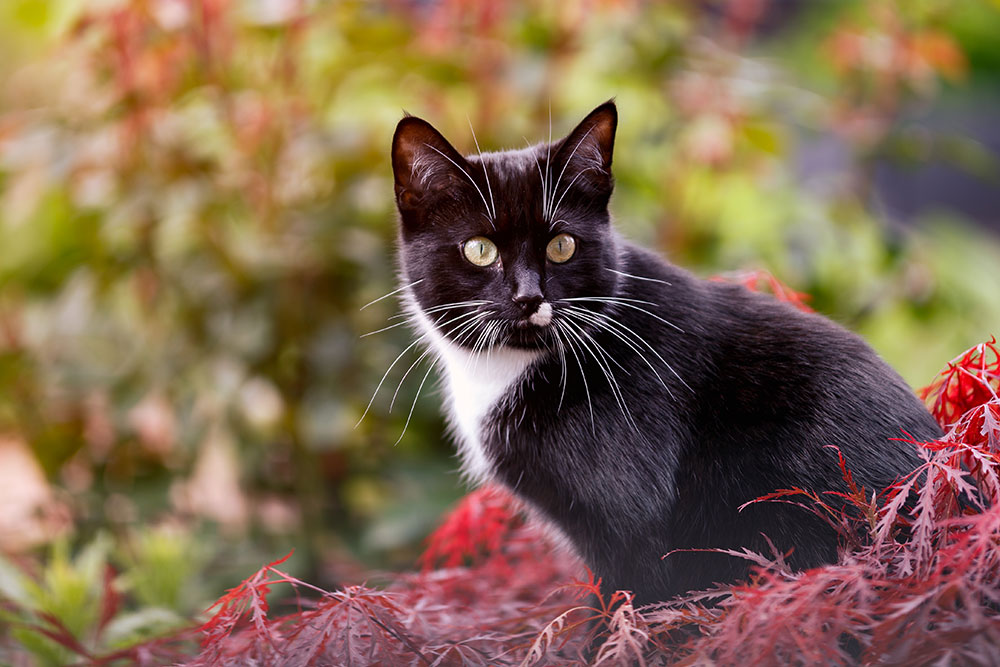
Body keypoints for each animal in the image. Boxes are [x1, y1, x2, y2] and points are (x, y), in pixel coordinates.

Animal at [386, 100, 940, 604]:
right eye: (479, 249)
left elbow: (627, 600)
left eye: (561, 245)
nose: (529, 298)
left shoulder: (632, 524)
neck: (512, 367)